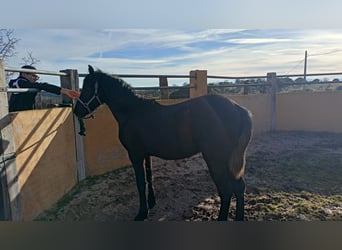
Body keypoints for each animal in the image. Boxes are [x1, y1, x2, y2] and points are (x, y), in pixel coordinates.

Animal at [74, 66, 251, 221]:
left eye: (87, 87)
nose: (76, 111)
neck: (133, 112)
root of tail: (238, 108)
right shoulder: (146, 154)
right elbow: (149, 177)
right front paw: (151, 203)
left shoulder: (135, 155)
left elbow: (140, 183)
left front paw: (142, 213)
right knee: (239, 187)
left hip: (216, 159)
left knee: (226, 191)